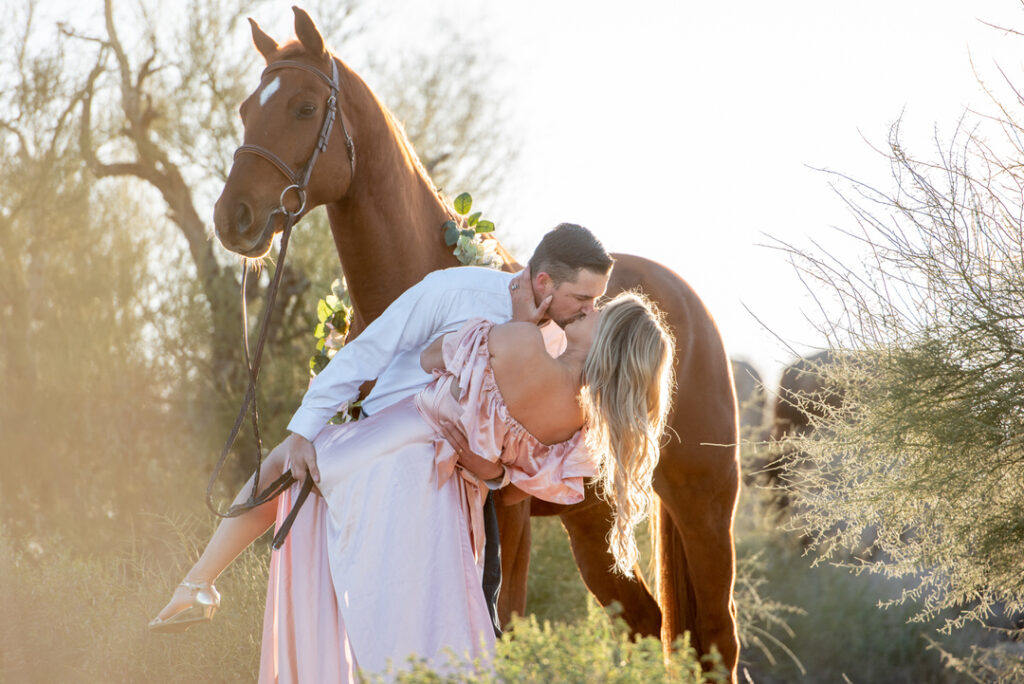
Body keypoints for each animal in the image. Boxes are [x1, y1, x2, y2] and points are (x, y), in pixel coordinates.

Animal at [216, 9, 741, 679]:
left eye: (305, 108)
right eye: (245, 109)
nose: (233, 218)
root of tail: (688, 308)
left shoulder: (508, 513)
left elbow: (504, 630)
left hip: (704, 504)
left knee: (718, 638)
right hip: (593, 521)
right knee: (648, 625)